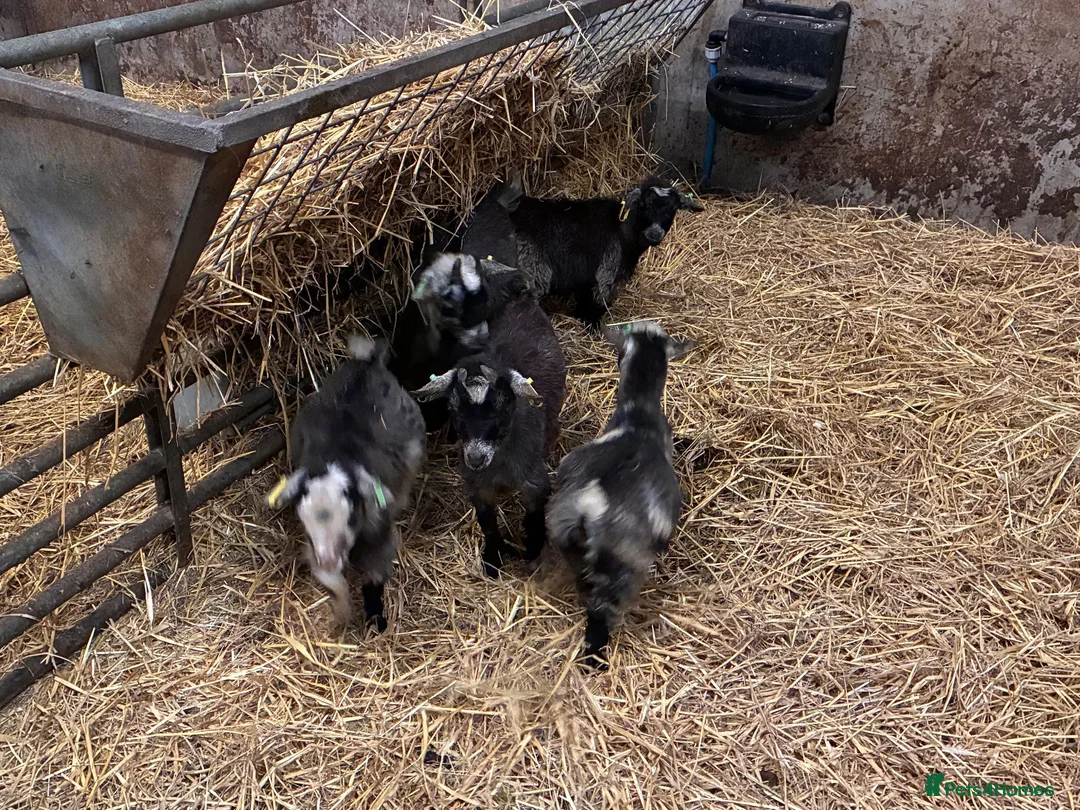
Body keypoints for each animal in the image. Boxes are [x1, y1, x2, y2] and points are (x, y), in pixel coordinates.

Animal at [268, 336, 426, 633]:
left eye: (350, 512)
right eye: (304, 519)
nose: (330, 559)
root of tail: (369, 362)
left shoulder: (380, 534)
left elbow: (374, 578)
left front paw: (376, 621)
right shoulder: (314, 549)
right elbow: (335, 583)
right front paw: (342, 614)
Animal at [413, 296, 567, 577]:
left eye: (501, 407)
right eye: (454, 410)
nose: (475, 458)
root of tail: (522, 299)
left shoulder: (534, 481)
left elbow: (534, 519)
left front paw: (534, 552)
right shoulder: (477, 485)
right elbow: (488, 523)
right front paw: (492, 560)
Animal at [462, 171, 703, 328]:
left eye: (672, 209)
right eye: (644, 205)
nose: (655, 233)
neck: (622, 230)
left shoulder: (584, 278)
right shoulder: (606, 274)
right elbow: (598, 306)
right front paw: (592, 327)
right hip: (532, 273)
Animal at [546, 321, 696, 668]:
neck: (638, 414)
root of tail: (592, 501)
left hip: (566, 539)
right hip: (624, 566)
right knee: (604, 611)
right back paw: (595, 657)